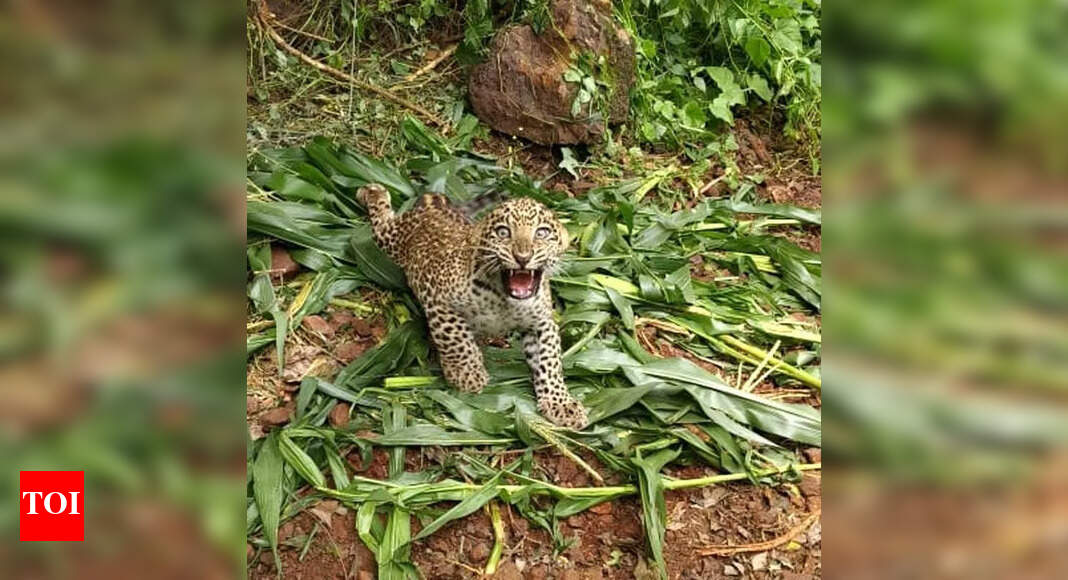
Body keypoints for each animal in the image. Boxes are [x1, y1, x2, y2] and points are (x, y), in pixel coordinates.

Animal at [357, 184, 588, 429]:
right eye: (503, 232)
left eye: (541, 233)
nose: (523, 257)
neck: (506, 301)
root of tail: (434, 206)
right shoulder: (438, 298)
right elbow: (456, 338)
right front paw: (468, 373)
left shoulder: (542, 322)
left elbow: (550, 361)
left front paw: (561, 403)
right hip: (392, 239)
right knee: (382, 223)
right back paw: (373, 192)